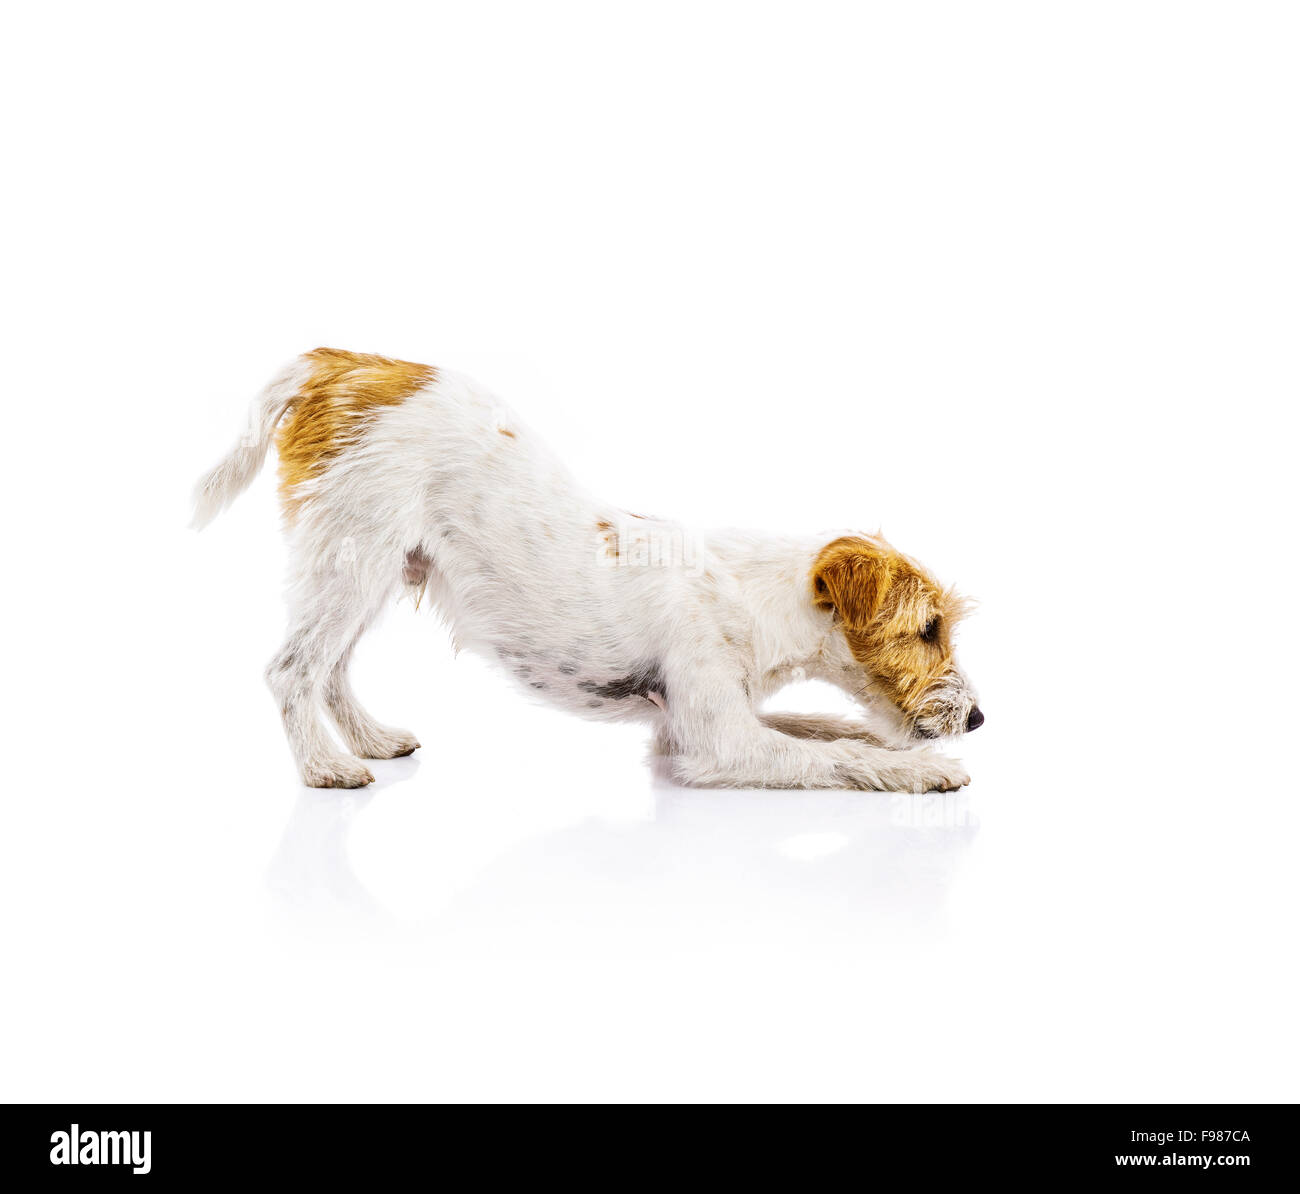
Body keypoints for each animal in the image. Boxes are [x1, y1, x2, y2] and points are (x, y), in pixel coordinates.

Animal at [195, 348, 982, 796]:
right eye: (927, 628)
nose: (978, 719)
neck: (756, 593)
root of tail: (339, 362)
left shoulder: (707, 721)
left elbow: (829, 728)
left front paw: (892, 743)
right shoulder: (716, 744)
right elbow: (835, 756)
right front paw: (926, 769)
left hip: (375, 569)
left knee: (329, 669)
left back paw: (370, 741)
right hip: (352, 560)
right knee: (292, 669)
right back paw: (324, 768)